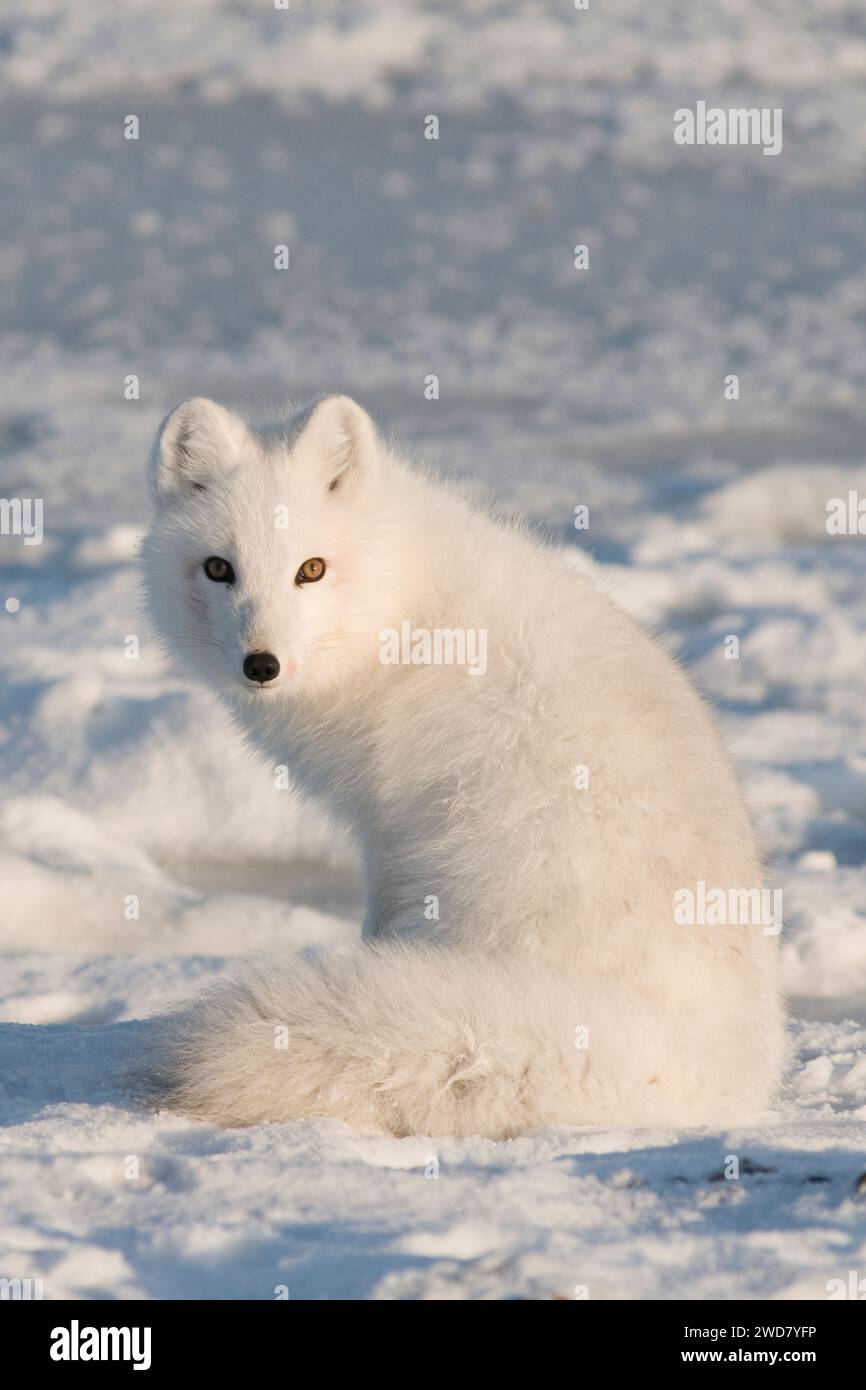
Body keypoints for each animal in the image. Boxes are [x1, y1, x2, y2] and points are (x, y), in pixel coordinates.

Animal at [141, 394, 786, 1137]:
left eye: (312, 568)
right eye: (219, 568)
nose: (261, 664)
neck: (401, 607)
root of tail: (718, 1055)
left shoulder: (387, 826)